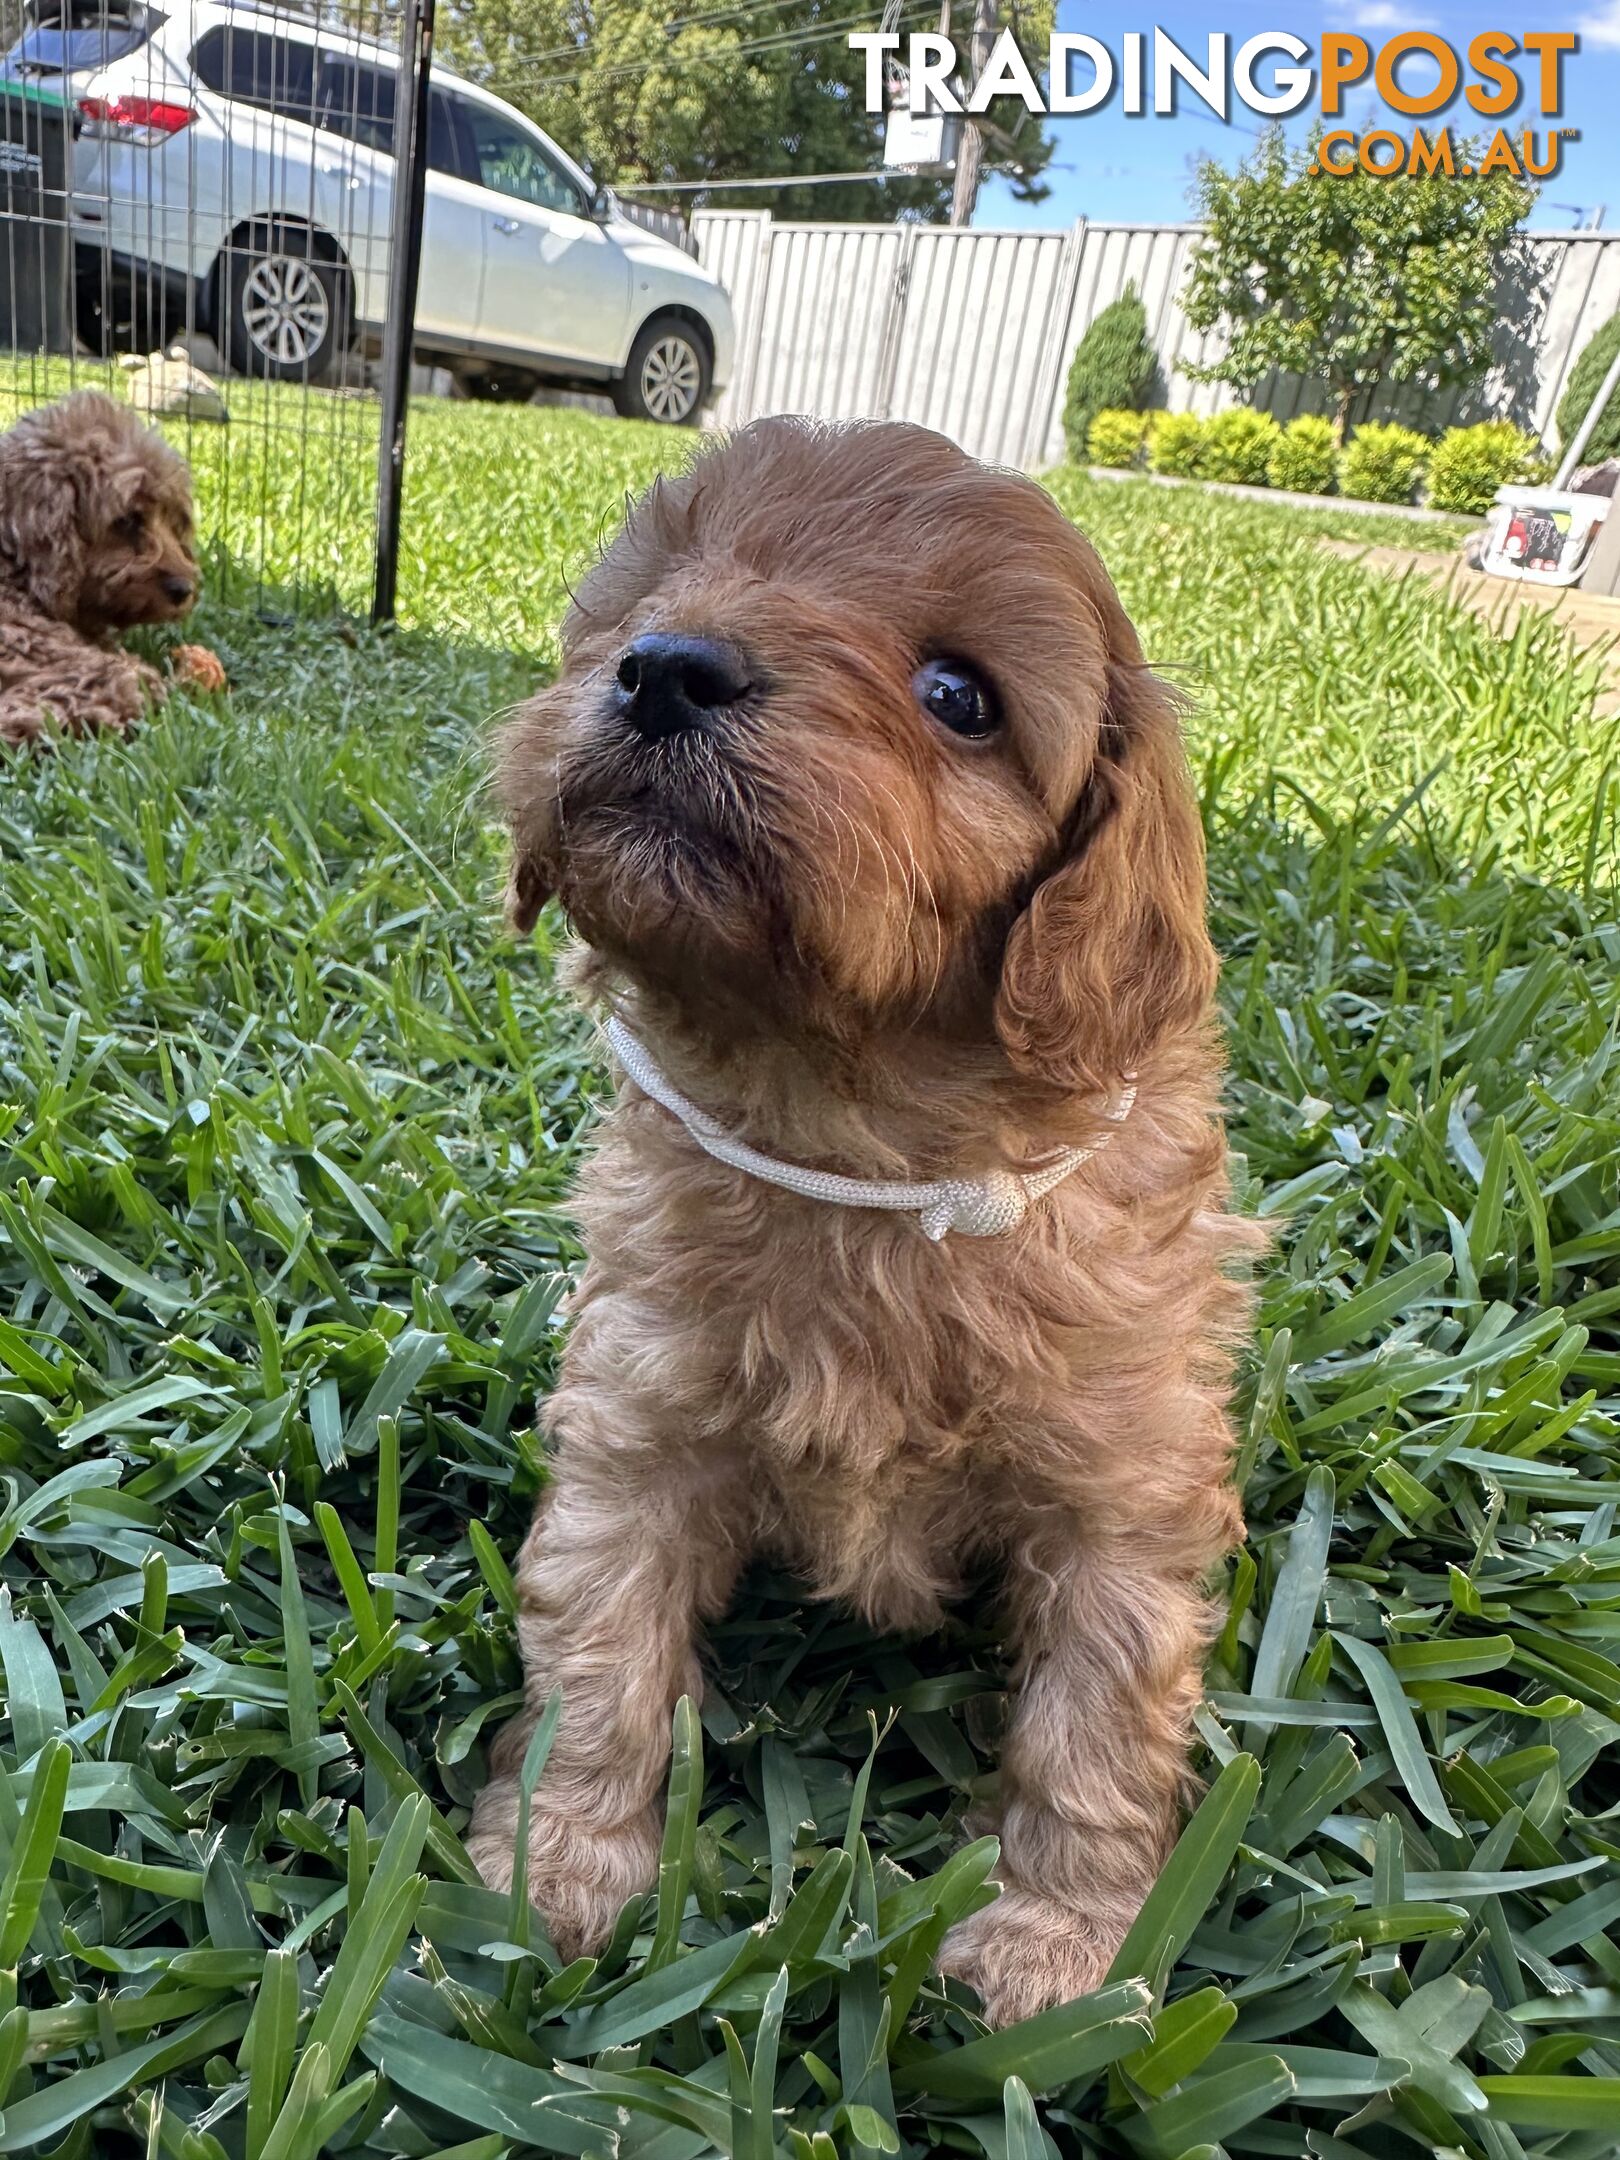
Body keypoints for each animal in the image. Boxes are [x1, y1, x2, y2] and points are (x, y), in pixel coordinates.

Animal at [475, 416, 1261, 2021]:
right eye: (664, 587)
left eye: (960, 697)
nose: (666, 664)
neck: (865, 1134)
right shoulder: (638, 1417)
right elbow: (600, 1638)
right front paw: (562, 1865)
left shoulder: (1126, 1487)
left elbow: (1098, 1717)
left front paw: (1061, 1949)